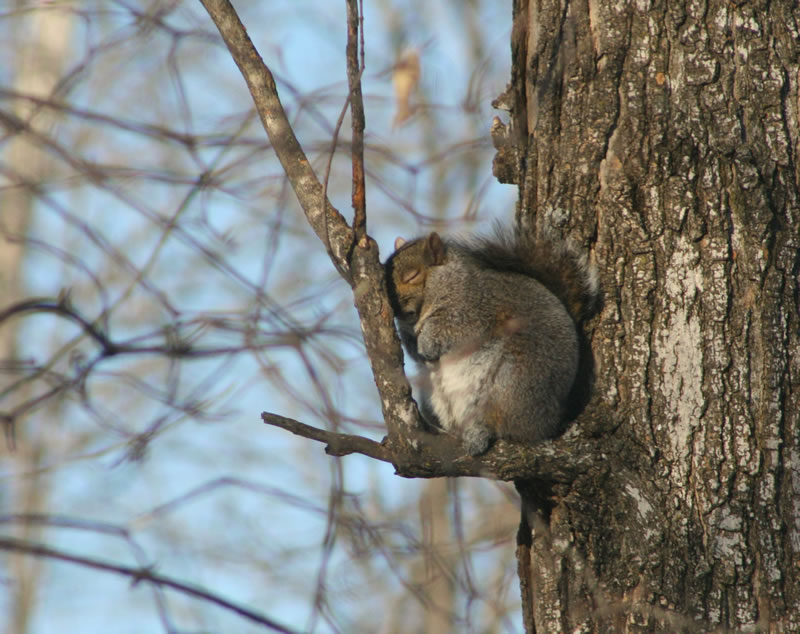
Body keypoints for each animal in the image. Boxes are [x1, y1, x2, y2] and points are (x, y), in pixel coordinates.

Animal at [384, 226, 596, 454]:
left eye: (412, 275)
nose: (392, 305)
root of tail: (550, 421)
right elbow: (414, 351)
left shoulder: (473, 309)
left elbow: (450, 330)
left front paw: (426, 342)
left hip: (513, 381)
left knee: (505, 425)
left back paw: (480, 433)